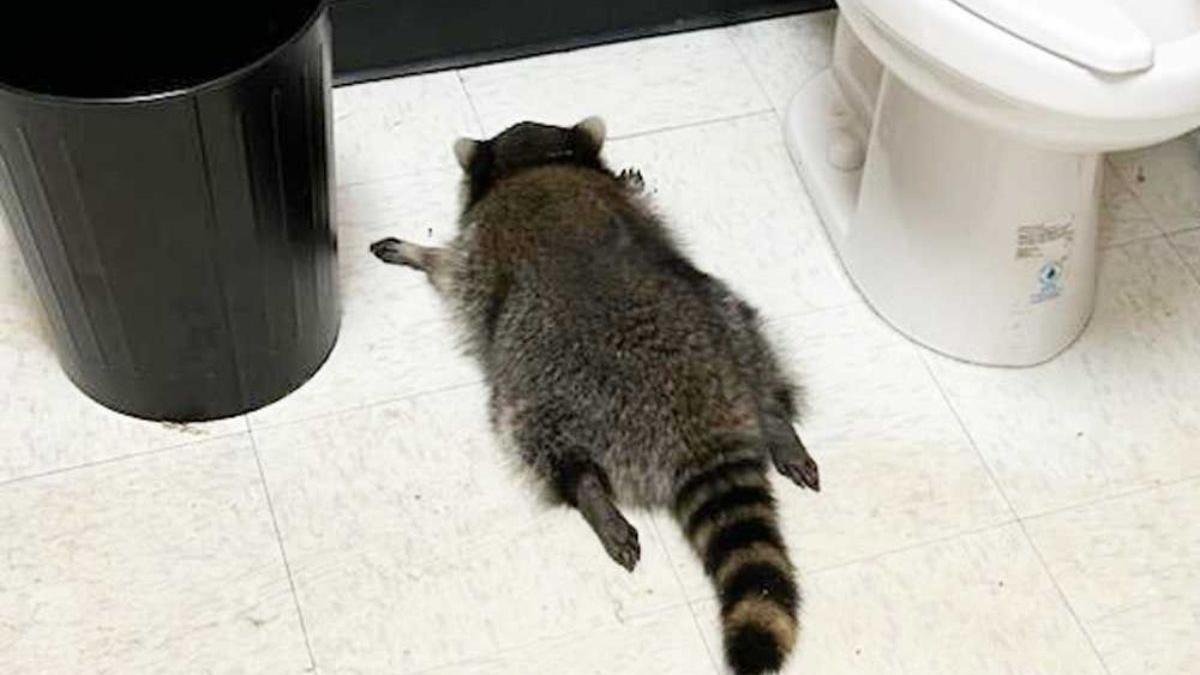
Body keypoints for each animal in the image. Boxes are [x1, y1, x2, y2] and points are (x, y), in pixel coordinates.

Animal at [370, 117, 820, 674]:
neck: (536, 164)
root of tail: (700, 423)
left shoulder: (479, 250)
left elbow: (451, 269)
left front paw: (420, 253)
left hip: (546, 388)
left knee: (535, 436)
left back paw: (588, 491)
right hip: (727, 319)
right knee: (751, 340)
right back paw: (775, 418)